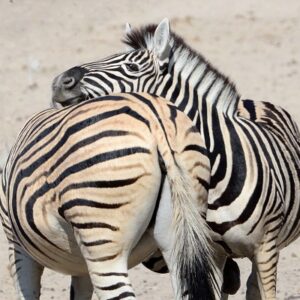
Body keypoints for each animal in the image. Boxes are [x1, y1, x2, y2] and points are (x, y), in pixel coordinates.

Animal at [0, 92, 217, 300]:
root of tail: (156, 119)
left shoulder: (17, 247)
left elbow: (27, 292)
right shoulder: (80, 265)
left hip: (102, 240)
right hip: (178, 236)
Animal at [51, 18, 300, 300]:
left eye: (132, 67)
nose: (61, 81)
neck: (219, 172)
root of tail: (249, 102)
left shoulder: (266, 249)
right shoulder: (211, 252)